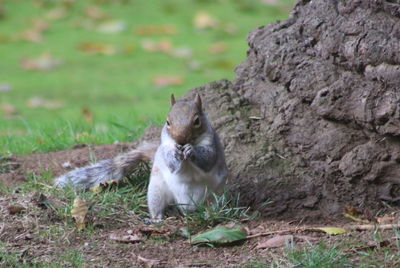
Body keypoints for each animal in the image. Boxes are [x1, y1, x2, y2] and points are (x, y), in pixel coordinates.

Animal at [55, 93, 228, 220]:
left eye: (197, 121)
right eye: (167, 122)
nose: (180, 140)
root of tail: (188, 206)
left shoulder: (212, 143)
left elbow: (208, 159)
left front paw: (191, 150)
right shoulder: (164, 146)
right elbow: (170, 162)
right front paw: (175, 153)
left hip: (216, 196)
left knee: (211, 206)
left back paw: (209, 214)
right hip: (157, 192)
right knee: (157, 206)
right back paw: (156, 219)